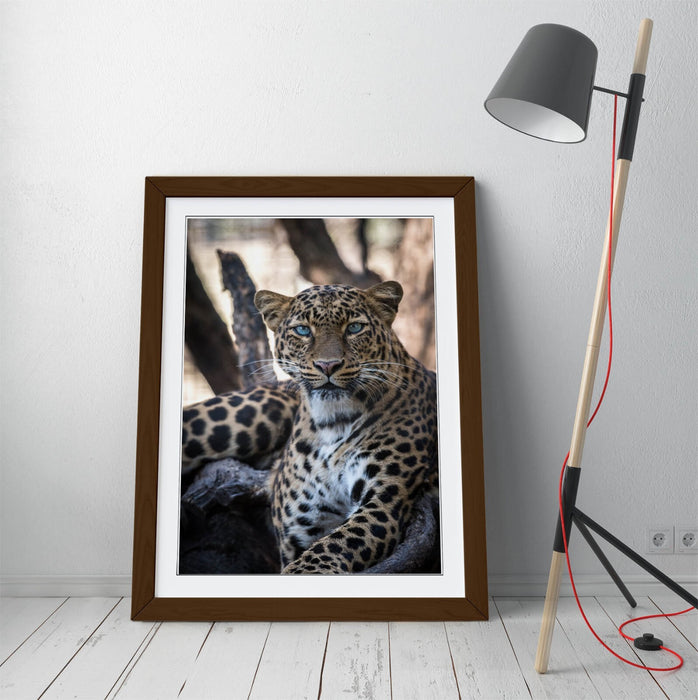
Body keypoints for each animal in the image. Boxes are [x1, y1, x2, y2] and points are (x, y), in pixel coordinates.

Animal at [181, 281, 438, 574]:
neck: (333, 423)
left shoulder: (384, 503)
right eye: (303, 330)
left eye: (354, 328)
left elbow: (333, 545)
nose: (328, 365)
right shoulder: (302, 525)